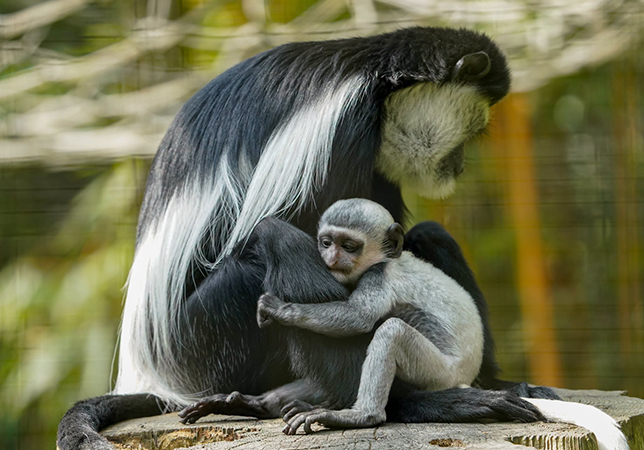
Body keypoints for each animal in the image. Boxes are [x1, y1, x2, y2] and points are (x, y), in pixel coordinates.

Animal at [57, 27, 561, 450]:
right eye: (475, 130)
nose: (458, 165)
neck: (376, 79)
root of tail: (150, 369)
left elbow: (396, 239)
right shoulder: (340, 127)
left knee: (430, 235)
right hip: (201, 342)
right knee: (266, 252)